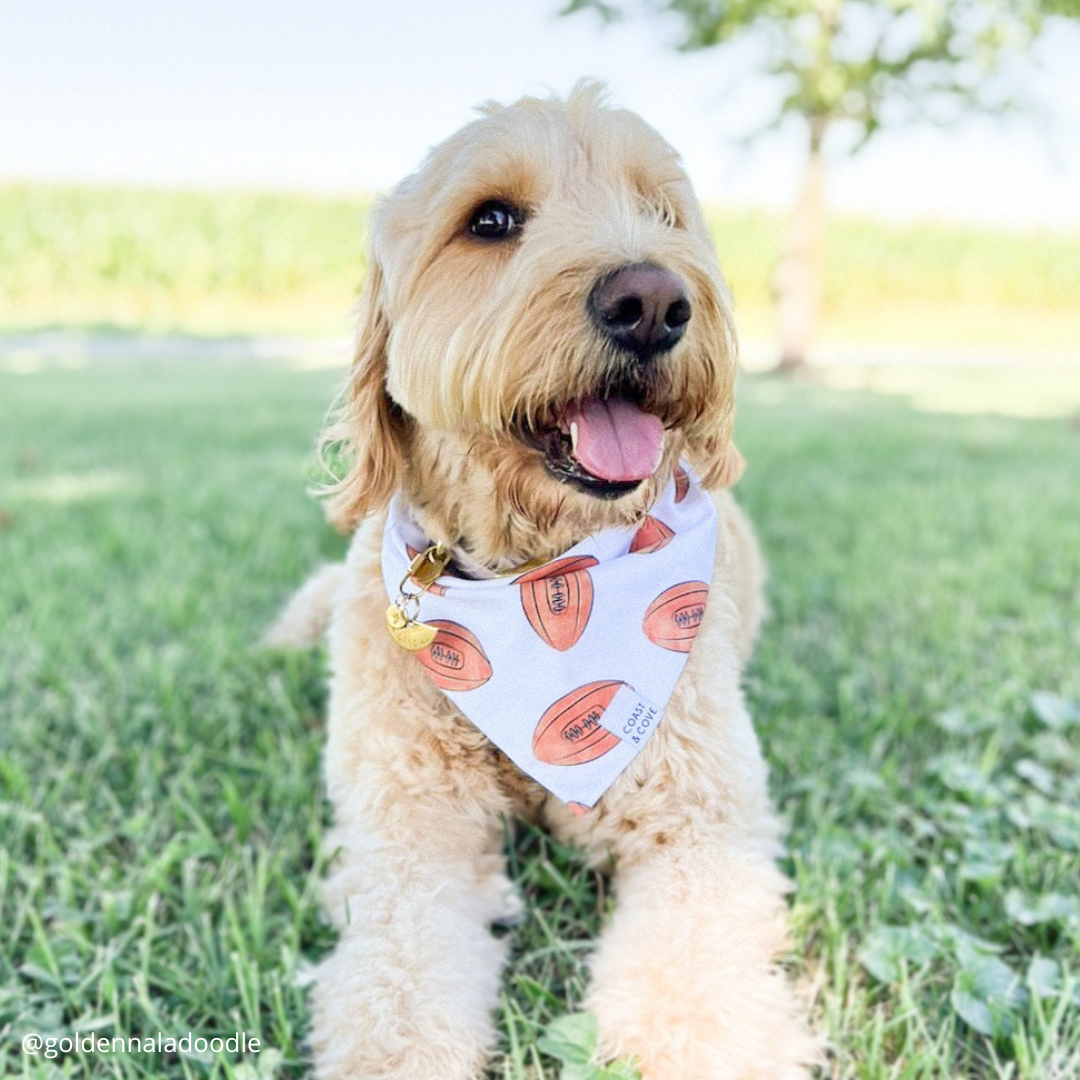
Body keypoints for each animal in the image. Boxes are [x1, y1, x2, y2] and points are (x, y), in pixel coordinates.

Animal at [272, 82, 816, 1080]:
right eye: (490, 220)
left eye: (661, 212)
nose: (653, 301)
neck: (529, 578)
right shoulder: (411, 834)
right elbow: (395, 985)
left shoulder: (701, 823)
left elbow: (698, 989)